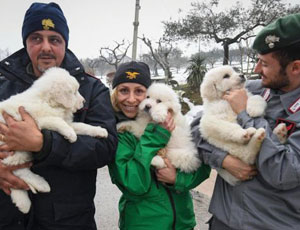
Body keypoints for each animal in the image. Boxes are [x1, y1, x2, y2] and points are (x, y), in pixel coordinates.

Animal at [0, 67, 108, 214]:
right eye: (74, 92)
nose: (84, 102)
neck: (49, 102)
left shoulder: (68, 122)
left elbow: (82, 126)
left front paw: (100, 131)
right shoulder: (36, 121)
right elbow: (55, 120)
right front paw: (71, 135)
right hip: (13, 149)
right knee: (18, 170)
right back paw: (41, 184)